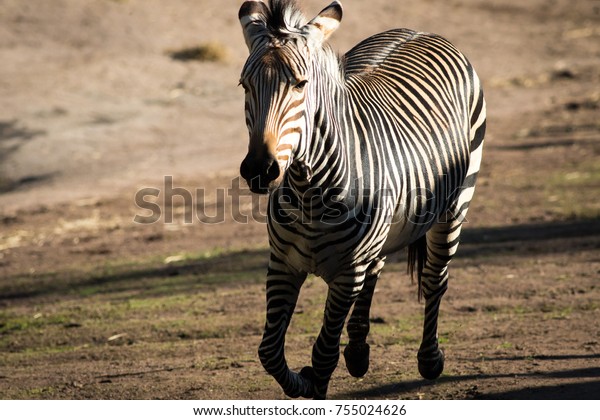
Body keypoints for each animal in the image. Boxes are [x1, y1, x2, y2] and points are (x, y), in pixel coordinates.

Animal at [237, 0, 486, 400]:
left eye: (300, 85)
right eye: (245, 86)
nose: (260, 169)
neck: (309, 193)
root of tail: (420, 30)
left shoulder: (346, 274)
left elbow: (323, 354)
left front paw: (313, 381)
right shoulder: (282, 264)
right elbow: (269, 352)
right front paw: (303, 380)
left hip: (456, 205)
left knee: (435, 278)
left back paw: (430, 359)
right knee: (378, 266)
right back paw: (357, 352)